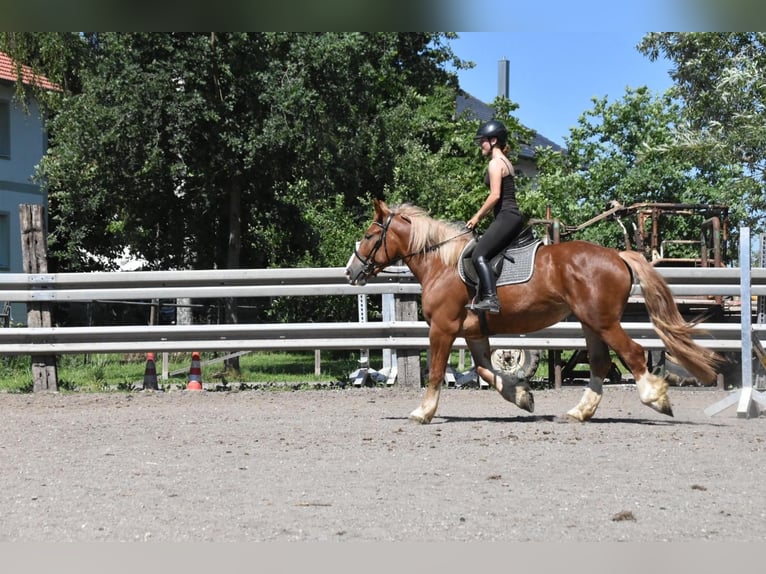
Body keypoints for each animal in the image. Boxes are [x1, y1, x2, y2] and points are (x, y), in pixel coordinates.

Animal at [345, 199, 722, 424]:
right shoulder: (474, 333)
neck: (443, 263)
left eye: (369, 235)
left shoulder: (443, 328)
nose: (351, 271)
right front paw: (523, 397)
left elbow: (437, 371)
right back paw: (580, 411)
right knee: (600, 362)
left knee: (633, 353)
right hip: (590, 323)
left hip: (603, 322)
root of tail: (618, 256)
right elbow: (485, 371)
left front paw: (423, 412)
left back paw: (655, 399)